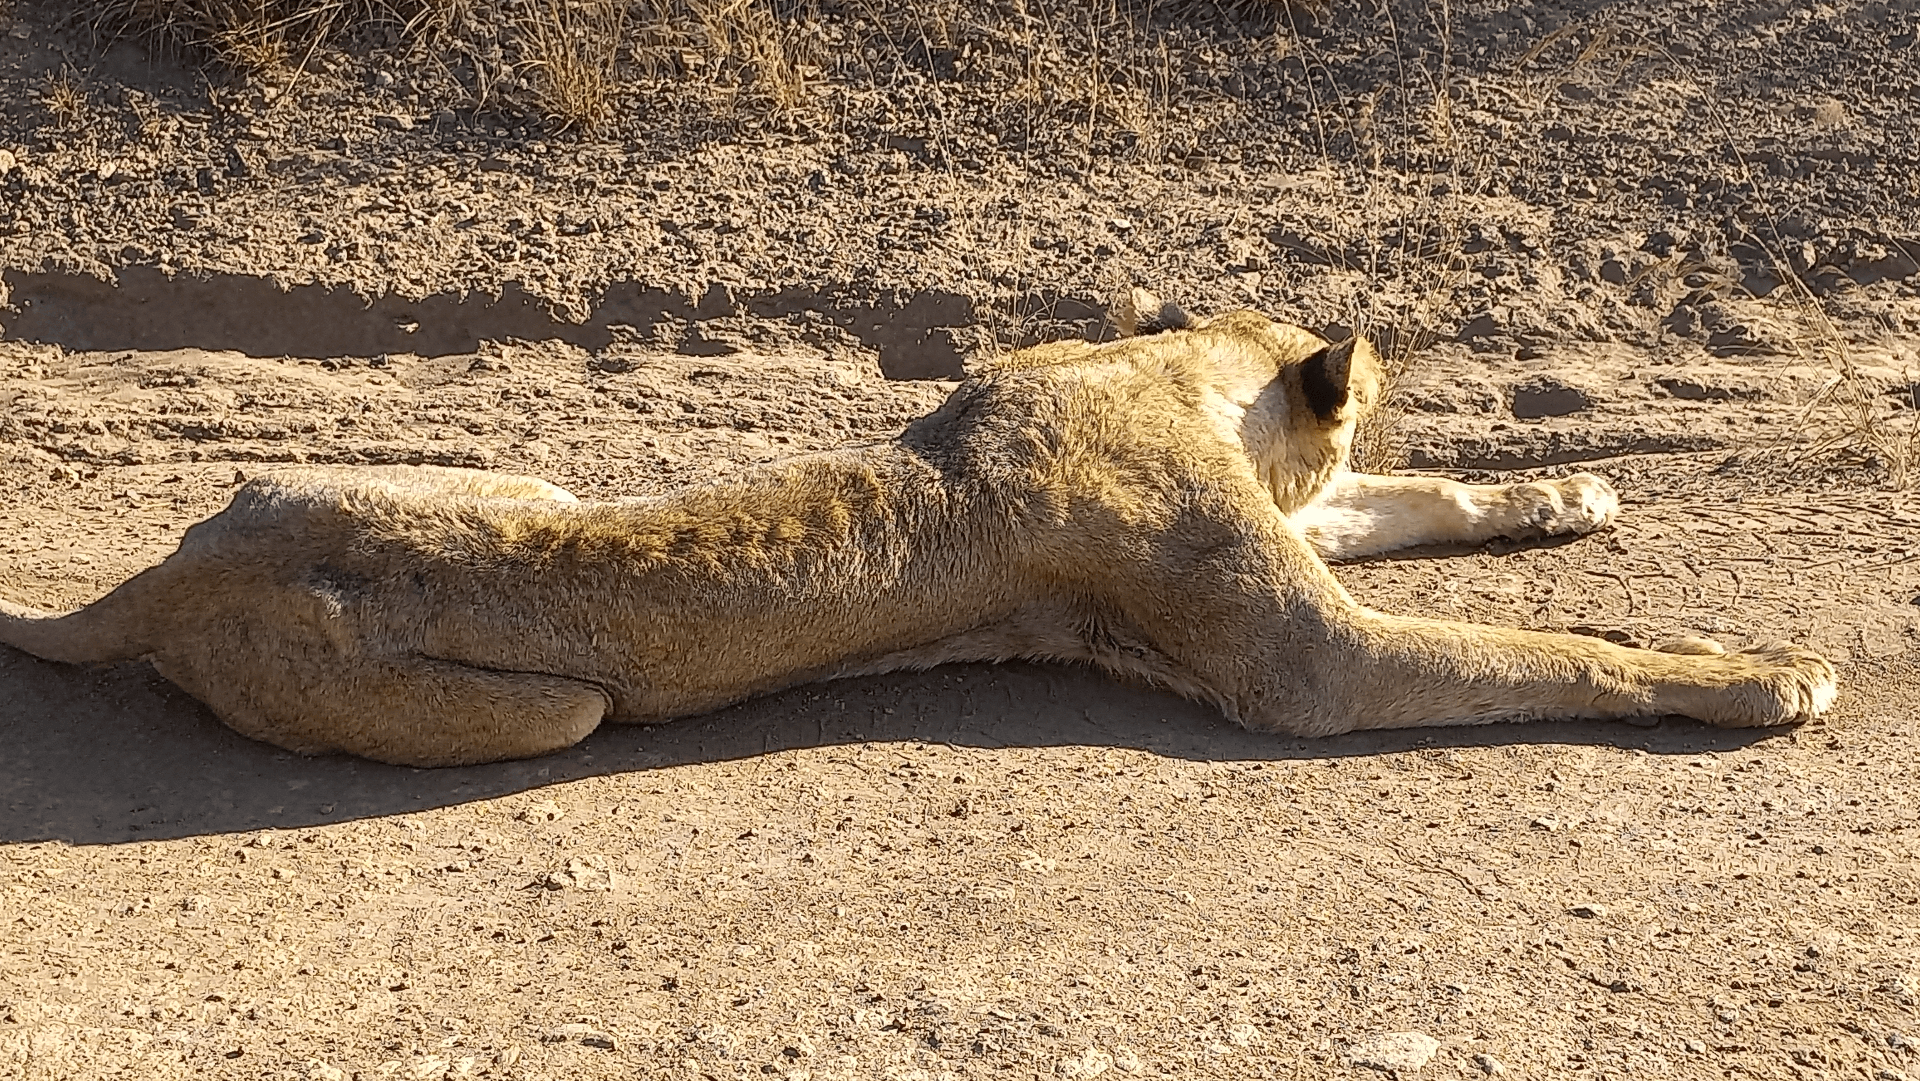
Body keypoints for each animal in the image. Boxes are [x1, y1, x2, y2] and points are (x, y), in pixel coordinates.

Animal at [0, 291, 1835, 766]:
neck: (1172, 374)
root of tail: (150, 577)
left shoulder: (1284, 537)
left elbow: (1436, 501)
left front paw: (1569, 492)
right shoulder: (1299, 662)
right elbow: (1552, 650)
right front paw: (1762, 671)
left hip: (521, 489)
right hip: (538, 712)